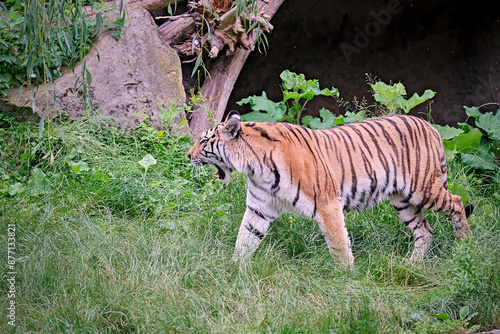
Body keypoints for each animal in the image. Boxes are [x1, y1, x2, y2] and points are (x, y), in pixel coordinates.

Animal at [188, 110, 472, 266]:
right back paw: (411, 264)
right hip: (402, 200)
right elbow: (244, 239)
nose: (188, 155)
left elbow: (338, 244)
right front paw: (235, 270)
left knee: (457, 202)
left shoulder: (327, 205)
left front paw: (347, 276)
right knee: (425, 230)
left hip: (424, 189)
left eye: (204, 141)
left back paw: (465, 247)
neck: (255, 167)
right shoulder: (260, 208)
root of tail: (430, 126)